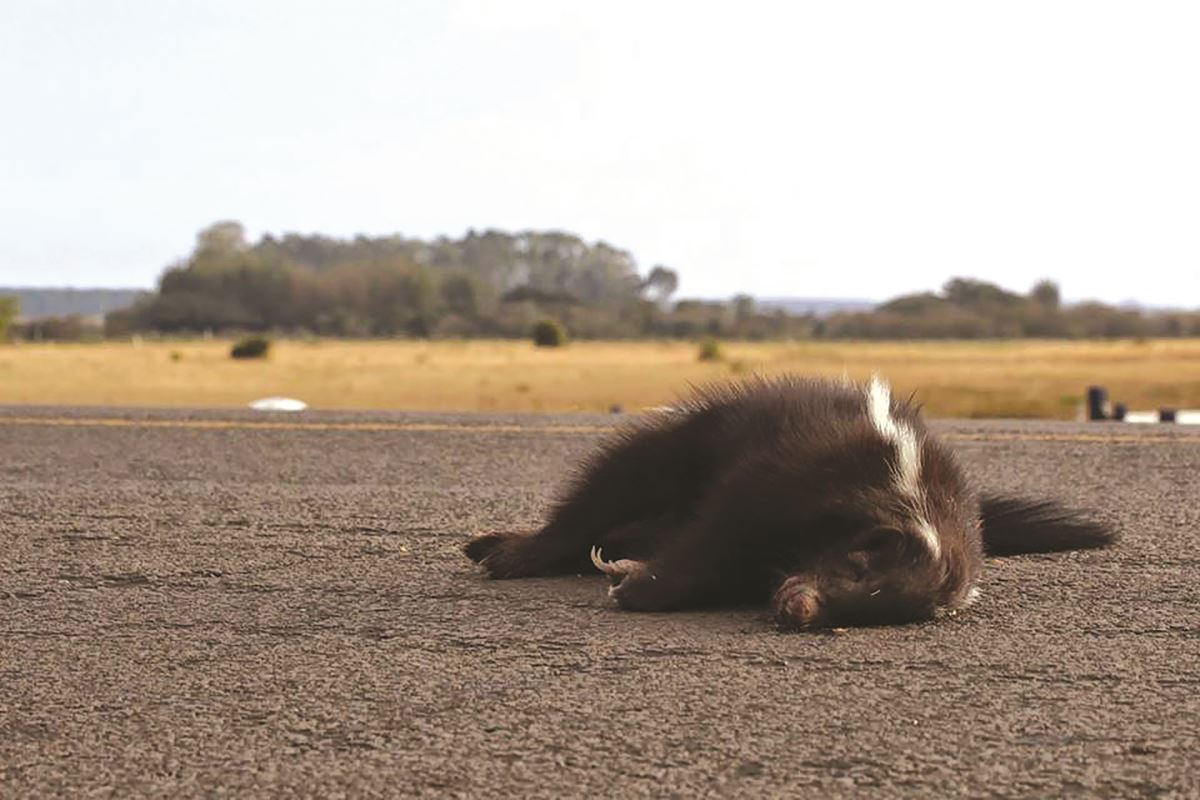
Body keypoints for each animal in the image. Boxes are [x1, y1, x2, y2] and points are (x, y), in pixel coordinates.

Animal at [463, 376, 1118, 633]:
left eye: (870, 610)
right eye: (858, 565)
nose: (798, 607)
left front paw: (637, 579)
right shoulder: (789, 476)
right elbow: (720, 530)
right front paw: (643, 588)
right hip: (695, 439)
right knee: (612, 483)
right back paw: (512, 551)